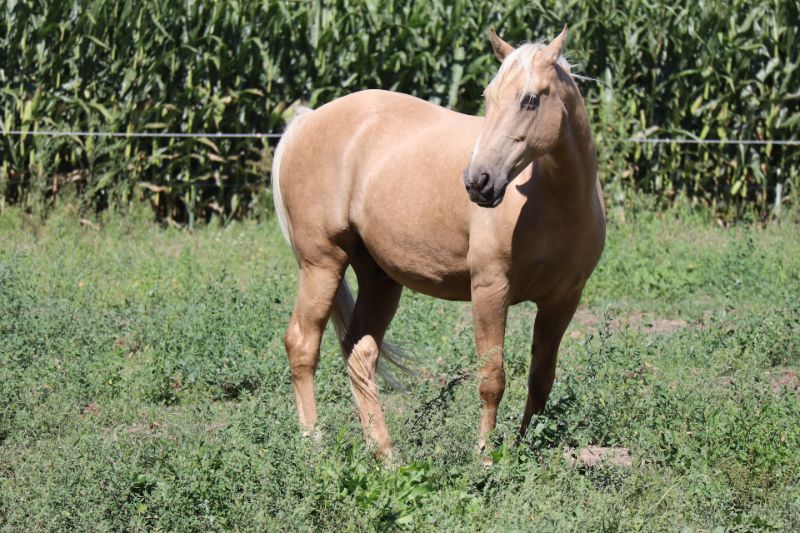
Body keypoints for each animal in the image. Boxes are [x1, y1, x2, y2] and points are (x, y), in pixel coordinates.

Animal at [272, 28, 604, 462]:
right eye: (488, 96)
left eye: (531, 99)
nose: (478, 181)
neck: (554, 201)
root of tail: (307, 120)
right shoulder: (490, 290)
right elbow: (492, 379)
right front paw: (485, 457)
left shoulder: (563, 301)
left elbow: (541, 379)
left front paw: (521, 450)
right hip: (322, 263)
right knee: (302, 345)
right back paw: (314, 445)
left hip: (379, 278)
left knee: (360, 353)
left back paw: (386, 456)